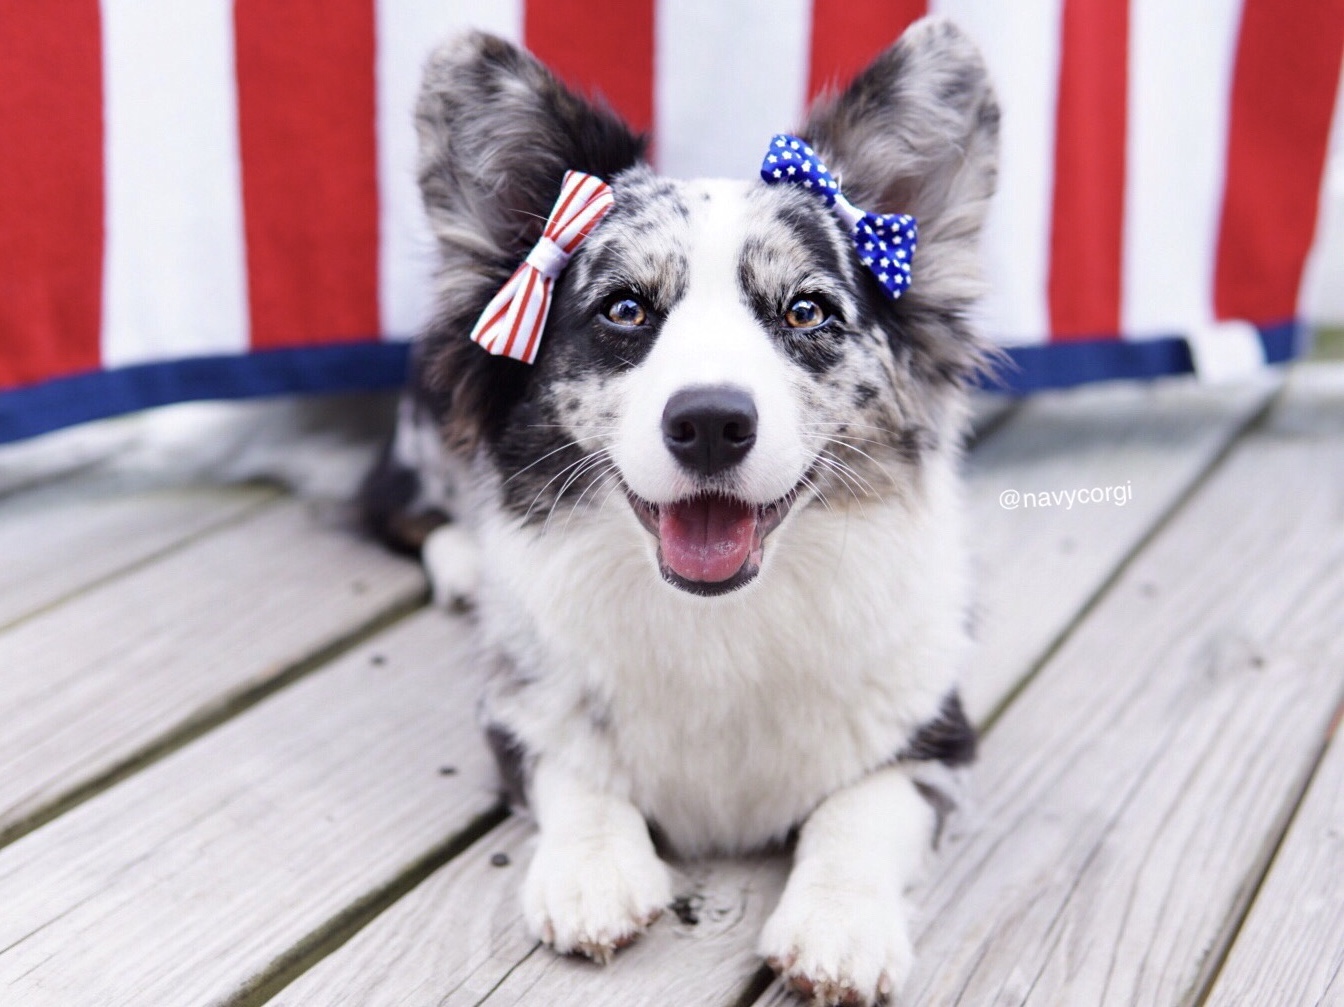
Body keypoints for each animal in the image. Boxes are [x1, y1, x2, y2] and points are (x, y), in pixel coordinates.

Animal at [362, 17, 1005, 1005]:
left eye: (807, 311)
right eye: (625, 308)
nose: (709, 424)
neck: (722, 622)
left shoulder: (937, 733)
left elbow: (864, 809)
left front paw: (841, 927)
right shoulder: (516, 706)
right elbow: (573, 770)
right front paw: (591, 873)